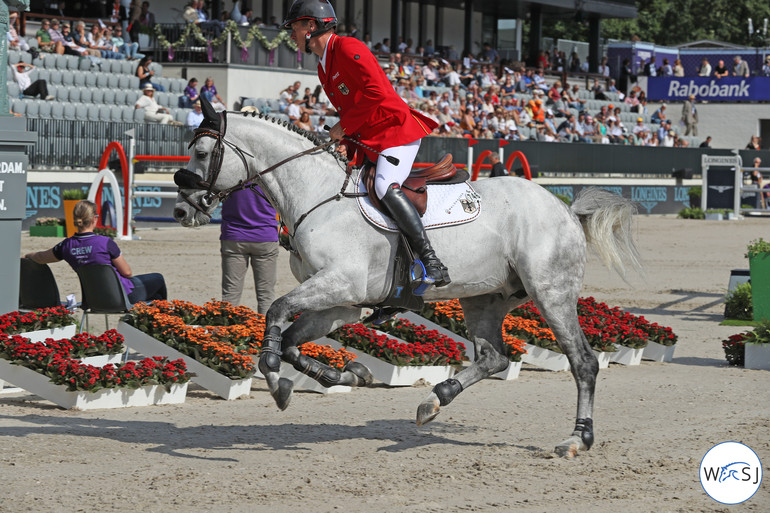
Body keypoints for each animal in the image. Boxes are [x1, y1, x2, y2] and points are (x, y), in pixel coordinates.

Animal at [176, 99, 640, 456]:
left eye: (201, 153)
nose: (182, 209)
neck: (316, 196)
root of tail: (564, 208)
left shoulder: (339, 285)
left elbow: (275, 312)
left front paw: (274, 378)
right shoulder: (343, 302)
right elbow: (291, 340)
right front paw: (345, 376)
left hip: (550, 293)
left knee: (582, 361)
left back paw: (577, 439)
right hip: (484, 298)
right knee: (493, 357)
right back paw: (434, 401)